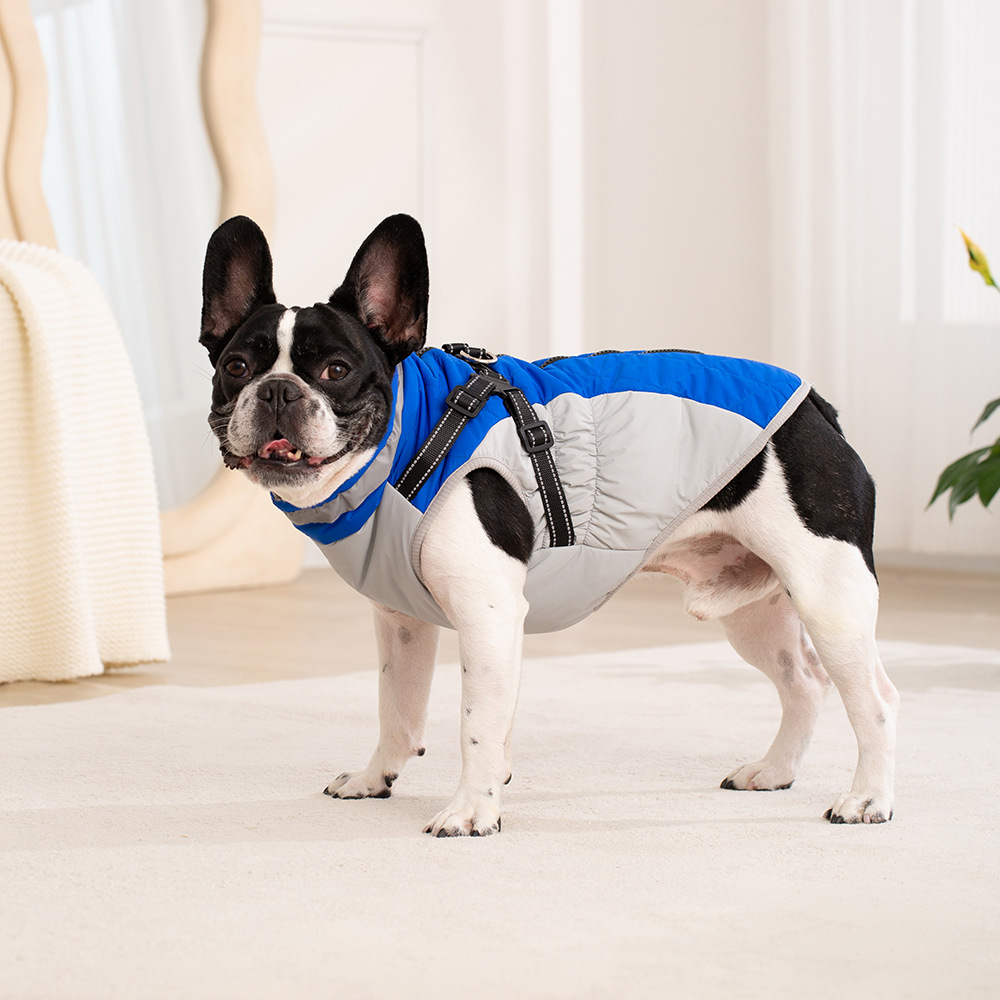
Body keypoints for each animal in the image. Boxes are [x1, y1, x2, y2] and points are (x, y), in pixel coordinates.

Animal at [200, 213, 898, 836]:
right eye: (236, 368)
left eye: (336, 371)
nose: (277, 390)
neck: (406, 436)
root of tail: (815, 407)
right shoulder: (401, 622)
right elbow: (396, 707)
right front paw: (377, 778)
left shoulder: (487, 616)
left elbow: (474, 722)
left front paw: (471, 811)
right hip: (753, 610)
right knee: (803, 683)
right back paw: (774, 771)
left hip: (828, 593)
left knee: (875, 700)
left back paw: (867, 799)